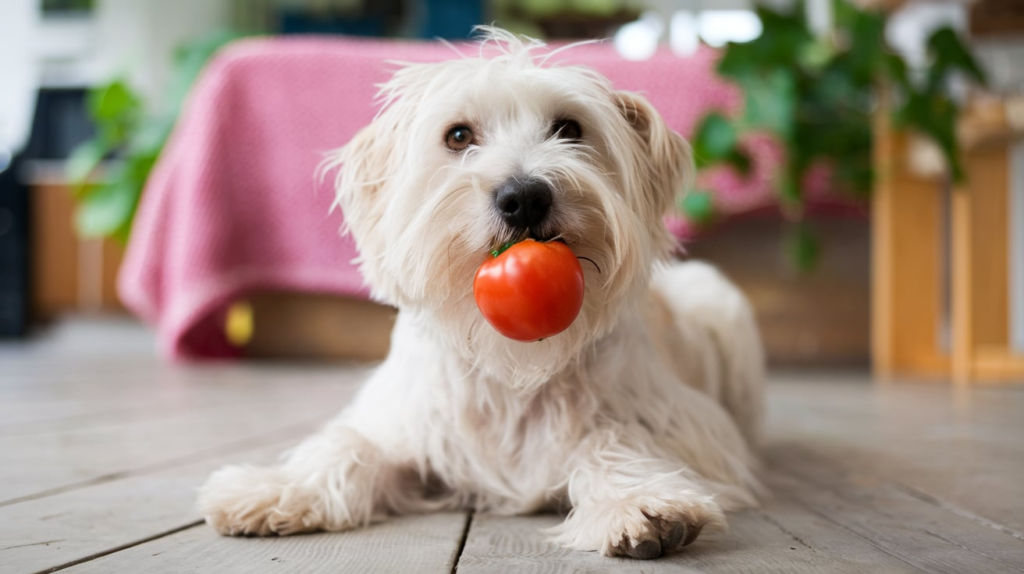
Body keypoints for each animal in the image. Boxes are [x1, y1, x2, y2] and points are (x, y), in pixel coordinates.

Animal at [195, 28, 765, 560]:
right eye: (458, 135)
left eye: (569, 128)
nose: (525, 196)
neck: (510, 359)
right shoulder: (399, 422)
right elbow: (346, 444)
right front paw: (277, 489)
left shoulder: (683, 423)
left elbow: (613, 437)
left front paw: (638, 503)